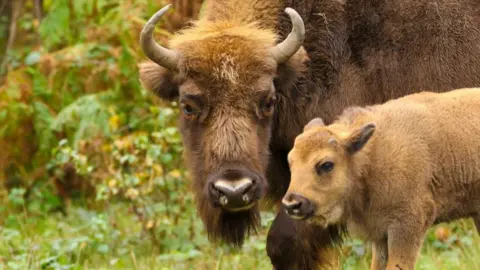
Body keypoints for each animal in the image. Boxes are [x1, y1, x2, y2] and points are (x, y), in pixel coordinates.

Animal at [284, 88, 478, 270]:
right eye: (290, 160)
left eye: (326, 164)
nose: (291, 204)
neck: (369, 158)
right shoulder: (380, 235)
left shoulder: (406, 228)